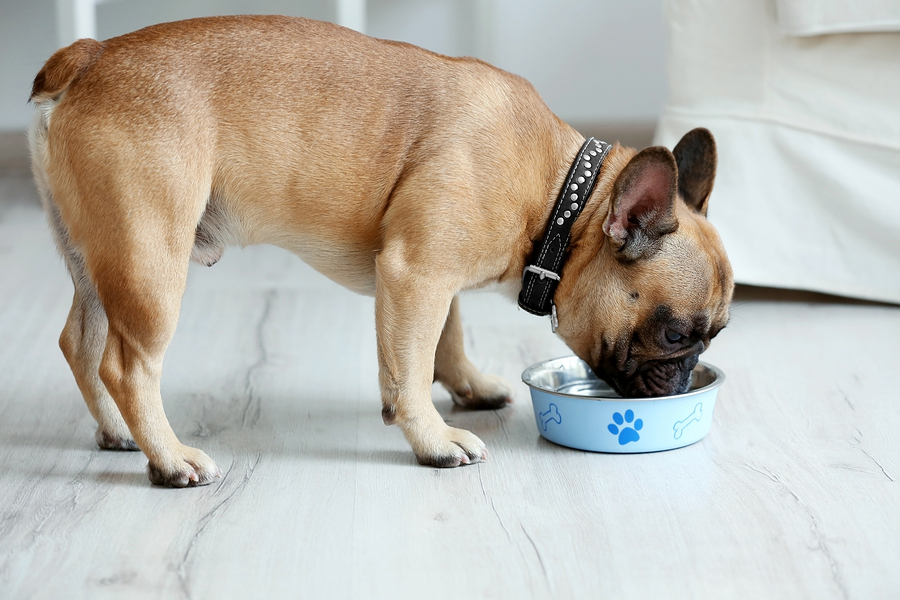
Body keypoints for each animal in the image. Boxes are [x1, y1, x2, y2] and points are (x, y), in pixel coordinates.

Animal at [28, 16, 736, 486]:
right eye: (676, 335)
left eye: (716, 334)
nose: (684, 376)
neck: (560, 197)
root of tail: (86, 57)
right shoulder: (416, 272)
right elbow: (412, 366)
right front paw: (434, 438)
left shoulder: (430, 277)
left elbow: (442, 341)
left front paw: (467, 387)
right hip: (149, 256)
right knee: (127, 366)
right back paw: (171, 459)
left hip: (98, 254)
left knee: (81, 342)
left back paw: (120, 434)